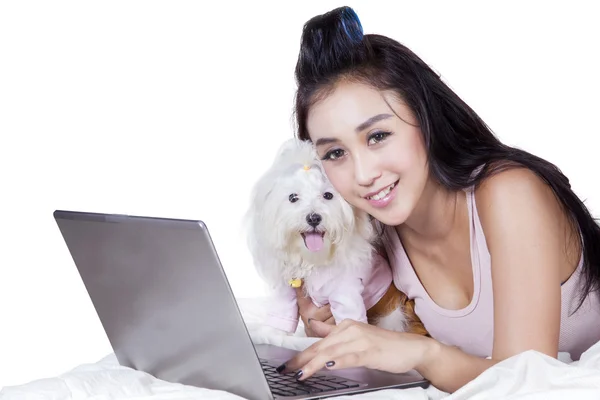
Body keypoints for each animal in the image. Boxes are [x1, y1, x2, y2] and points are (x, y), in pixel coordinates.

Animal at [245, 139, 426, 336]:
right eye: (293, 197)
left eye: (328, 195)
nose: (314, 218)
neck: (314, 260)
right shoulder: (287, 290)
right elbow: (280, 317)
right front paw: (270, 335)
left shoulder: (346, 291)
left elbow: (350, 321)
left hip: (392, 316)